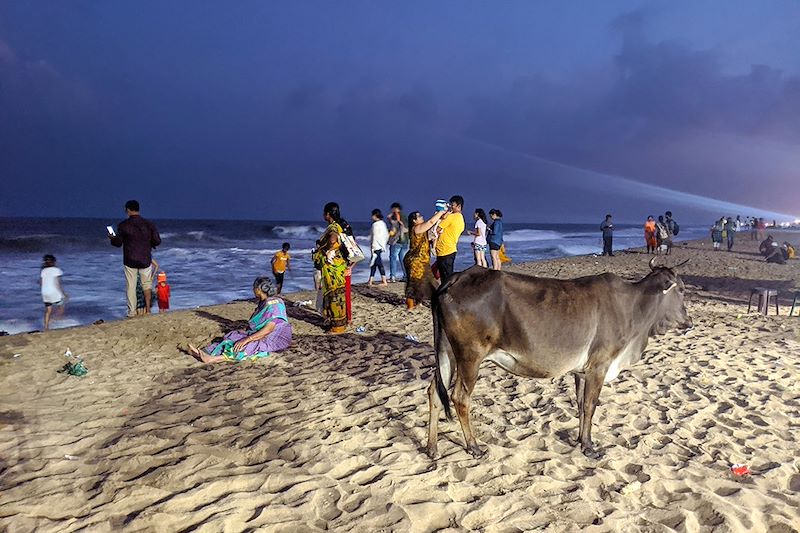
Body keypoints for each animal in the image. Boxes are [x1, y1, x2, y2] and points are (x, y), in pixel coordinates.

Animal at [424, 258, 692, 458]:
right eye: (681, 290)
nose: (689, 322)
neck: (634, 309)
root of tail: (457, 277)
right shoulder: (599, 366)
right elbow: (591, 405)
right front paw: (589, 447)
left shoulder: (582, 371)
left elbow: (581, 405)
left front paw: (580, 439)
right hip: (470, 356)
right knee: (460, 398)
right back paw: (473, 446)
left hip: (447, 352)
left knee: (435, 392)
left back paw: (432, 448)